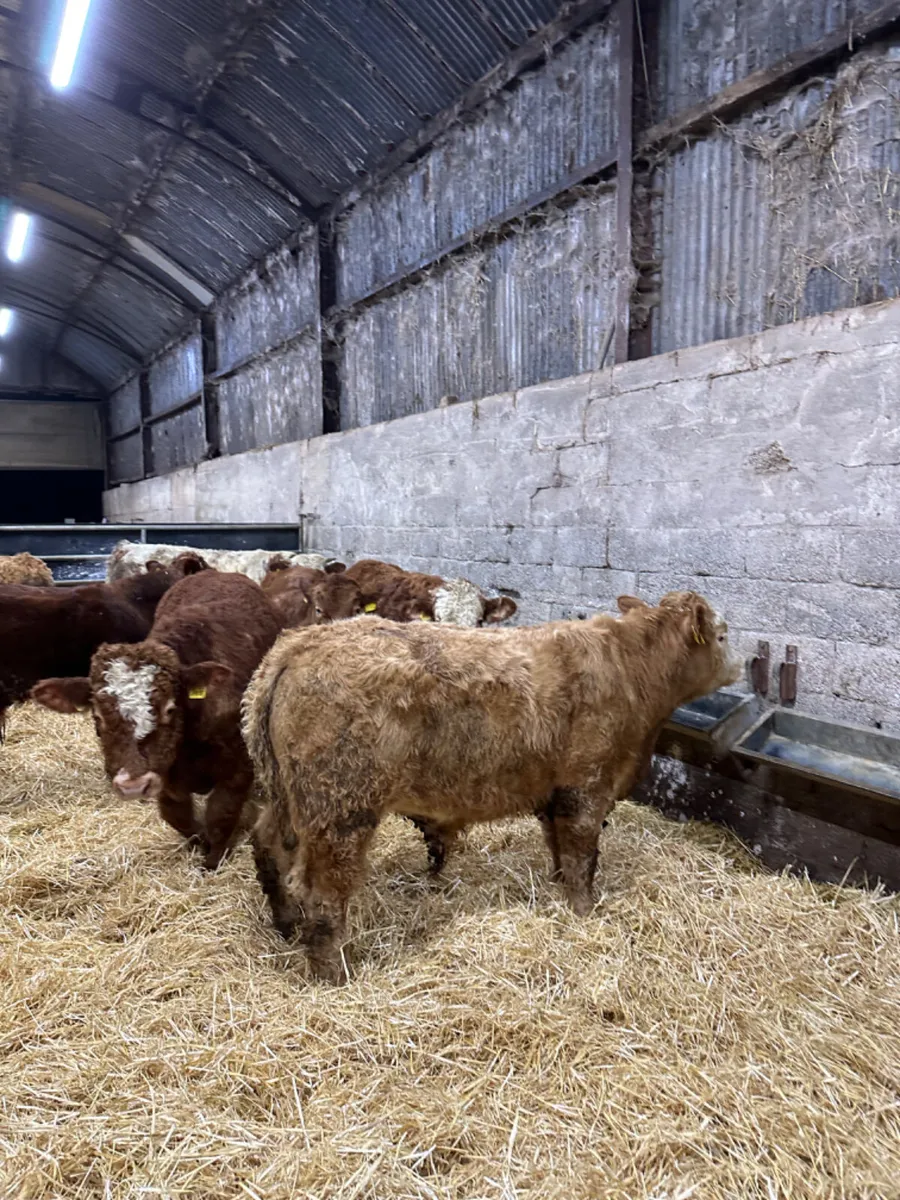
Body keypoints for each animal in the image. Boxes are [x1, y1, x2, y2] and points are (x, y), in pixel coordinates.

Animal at [31, 571, 282, 870]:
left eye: (170, 709)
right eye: (97, 716)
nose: (133, 786)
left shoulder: (237, 771)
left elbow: (220, 817)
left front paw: (212, 860)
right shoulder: (167, 779)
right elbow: (178, 817)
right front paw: (197, 841)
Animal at [243, 591, 743, 982]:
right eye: (722, 635)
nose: (740, 665)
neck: (631, 668)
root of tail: (299, 645)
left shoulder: (554, 793)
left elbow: (559, 850)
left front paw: (559, 891)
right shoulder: (586, 786)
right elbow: (582, 856)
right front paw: (585, 912)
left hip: (288, 799)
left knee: (269, 847)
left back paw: (285, 925)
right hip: (340, 811)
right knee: (323, 893)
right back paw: (333, 973)